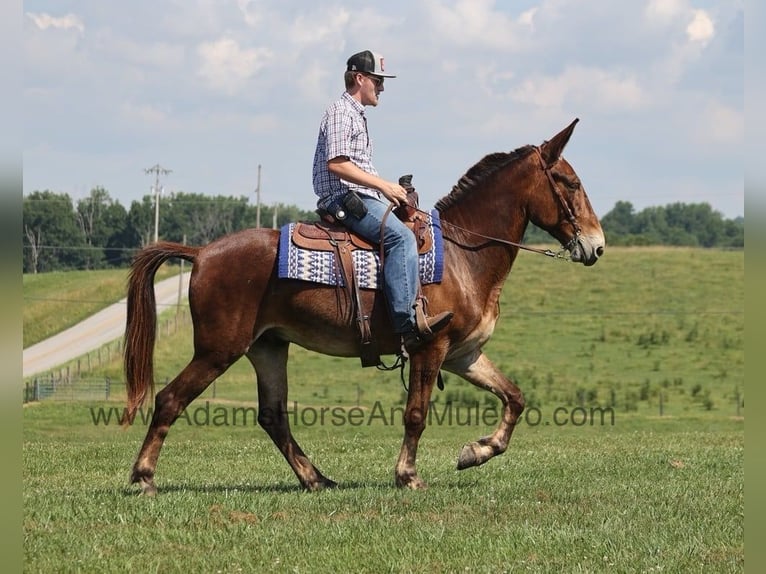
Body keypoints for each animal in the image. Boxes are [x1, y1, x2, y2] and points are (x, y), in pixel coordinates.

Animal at [123, 118, 605, 494]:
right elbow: (416, 414)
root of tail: (202, 252)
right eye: (571, 183)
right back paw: (144, 476)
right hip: (218, 350)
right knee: (169, 399)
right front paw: (407, 475)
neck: (463, 254)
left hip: (268, 348)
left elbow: (514, 397)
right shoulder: (430, 348)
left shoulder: (463, 354)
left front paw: (476, 451)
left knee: (273, 417)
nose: (597, 245)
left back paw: (316, 478)